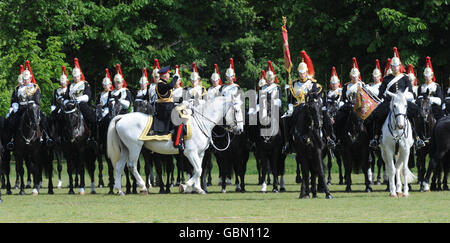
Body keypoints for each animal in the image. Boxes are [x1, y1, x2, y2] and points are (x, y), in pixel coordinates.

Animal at [107, 96, 244, 195]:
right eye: (236, 111)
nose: (240, 130)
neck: (201, 122)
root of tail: (121, 117)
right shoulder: (190, 153)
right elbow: (197, 170)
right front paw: (185, 186)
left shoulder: (200, 153)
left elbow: (198, 170)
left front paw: (198, 189)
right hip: (135, 147)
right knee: (132, 166)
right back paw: (143, 187)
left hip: (125, 149)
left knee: (119, 166)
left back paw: (120, 190)